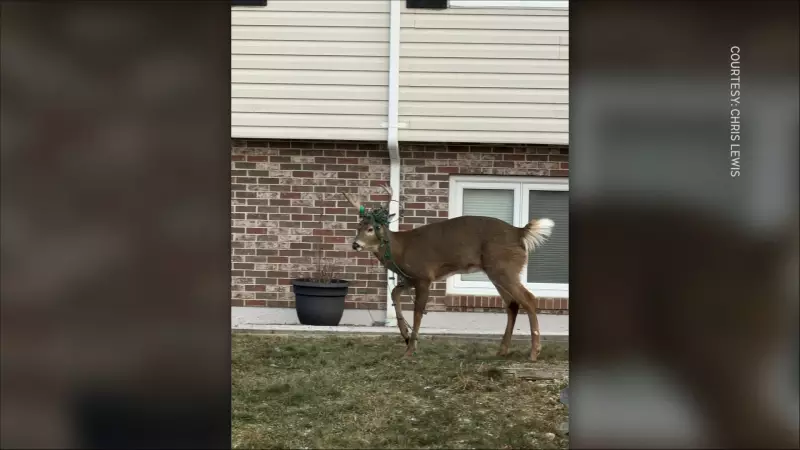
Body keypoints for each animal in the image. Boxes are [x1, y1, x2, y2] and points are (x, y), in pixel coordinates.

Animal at [342, 184, 555, 361]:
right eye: (358, 227)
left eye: (372, 228)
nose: (355, 244)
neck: (400, 250)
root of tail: (520, 232)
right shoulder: (410, 278)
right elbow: (395, 293)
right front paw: (405, 336)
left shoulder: (424, 276)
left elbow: (418, 312)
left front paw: (410, 350)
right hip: (497, 271)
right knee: (512, 304)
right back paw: (502, 350)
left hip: (504, 267)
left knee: (529, 299)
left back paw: (534, 352)